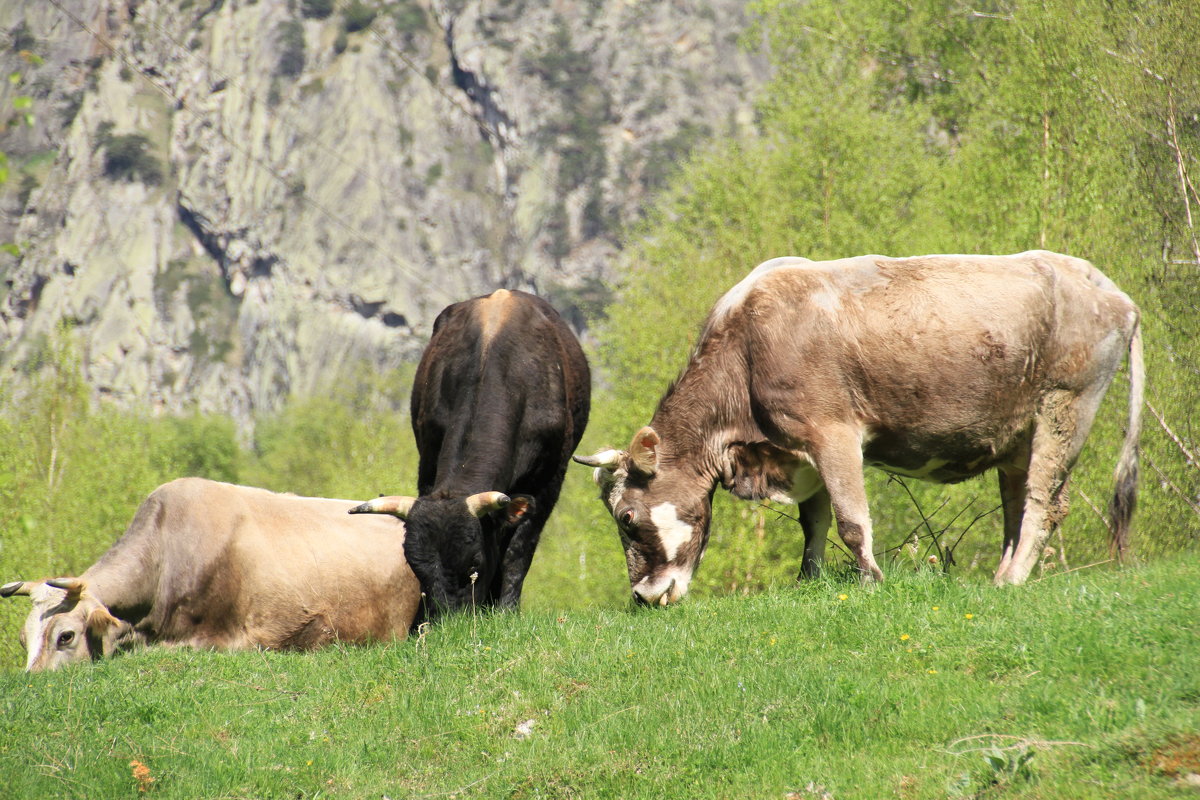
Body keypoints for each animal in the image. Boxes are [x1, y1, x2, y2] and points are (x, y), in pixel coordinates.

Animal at [576, 253, 1147, 604]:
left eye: (627, 517)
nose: (644, 597)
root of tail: (1111, 290)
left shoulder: (833, 432)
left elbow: (852, 520)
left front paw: (871, 582)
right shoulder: (800, 450)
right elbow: (813, 522)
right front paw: (807, 582)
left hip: (1065, 407)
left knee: (1044, 502)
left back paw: (1010, 581)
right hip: (1018, 433)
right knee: (1017, 504)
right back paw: (1001, 575)